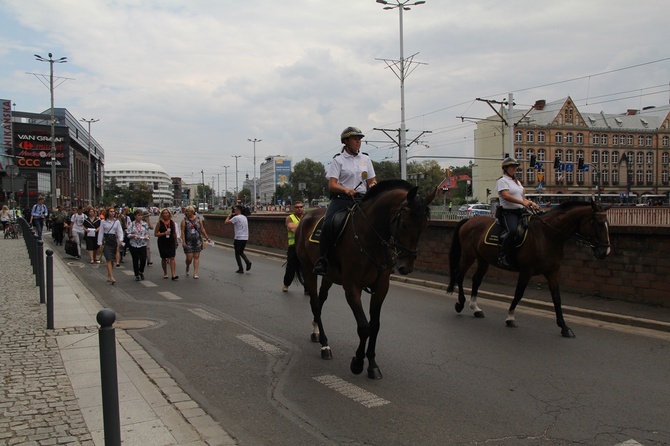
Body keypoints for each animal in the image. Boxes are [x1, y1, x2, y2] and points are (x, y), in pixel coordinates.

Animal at [298, 179, 436, 378]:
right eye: (404, 224)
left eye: (425, 225)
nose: (406, 266)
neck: (371, 238)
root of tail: (306, 216)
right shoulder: (352, 287)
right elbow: (364, 327)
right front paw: (357, 362)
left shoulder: (381, 287)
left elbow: (375, 325)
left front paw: (372, 364)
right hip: (308, 269)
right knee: (315, 304)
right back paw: (325, 344)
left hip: (328, 276)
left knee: (321, 300)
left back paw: (315, 331)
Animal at [448, 200, 612, 336]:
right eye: (598, 223)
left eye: (607, 224)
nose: (605, 251)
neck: (547, 235)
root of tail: (470, 220)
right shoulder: (526, 271)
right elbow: (518, 294)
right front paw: (510, 318)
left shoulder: (553, 272)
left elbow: (557, 298)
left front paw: (564, 327)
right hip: (468, 256)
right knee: (459, 275)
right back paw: (460, 303)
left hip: (483, 259)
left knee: (476, 280)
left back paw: (476, 308)